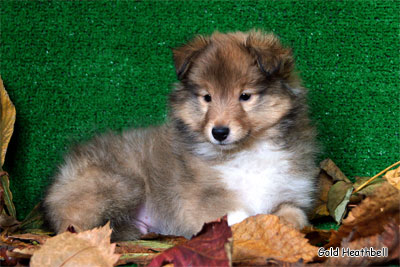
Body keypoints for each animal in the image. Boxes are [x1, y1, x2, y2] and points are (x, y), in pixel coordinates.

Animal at [43, 30, 318, 242]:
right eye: (207, 97)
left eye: (245, 96)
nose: (219, 132)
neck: (246, 151)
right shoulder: (202, 199)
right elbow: (239, 217)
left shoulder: (290, 194)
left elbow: (295, 216)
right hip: (122, 184)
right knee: (71, 228)